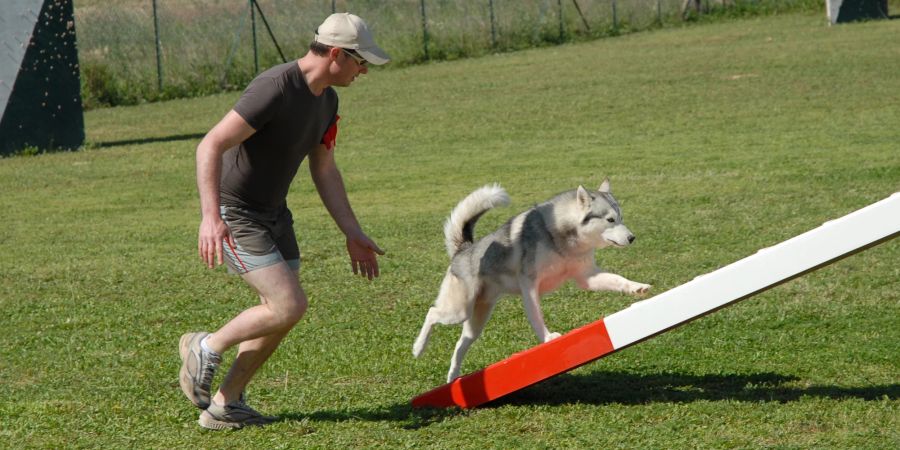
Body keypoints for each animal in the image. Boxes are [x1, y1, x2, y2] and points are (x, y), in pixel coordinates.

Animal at [412, 178, 652, 382]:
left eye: (621, 218)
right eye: (610, 219)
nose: (632, 238)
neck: (562, 236)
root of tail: (463, 250)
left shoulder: (587, 276)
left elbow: (617, 279)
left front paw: (637, 287)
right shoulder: (529, 283)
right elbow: (537, 316)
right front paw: (547, 337)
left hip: (476, 321)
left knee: (460, 344)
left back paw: (453, 377)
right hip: (458, 310)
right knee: (432, 313)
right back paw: (418, 348)